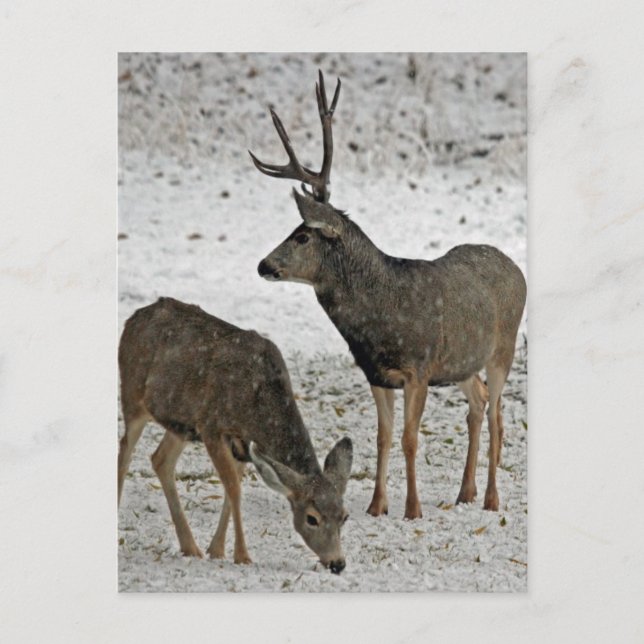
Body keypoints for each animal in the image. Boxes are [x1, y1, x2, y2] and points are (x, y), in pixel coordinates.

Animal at [117, 297, 353, 573]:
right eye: (312, 518)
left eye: (344, 516)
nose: (337, 563)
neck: (257, 405)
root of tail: (133, 318)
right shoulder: (211, 426)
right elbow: (233, 488)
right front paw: (242, 555)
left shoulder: (242, 444)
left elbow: (234, 488)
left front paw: (216, 550)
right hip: (133, 396)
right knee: (124, 453)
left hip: (180, 422)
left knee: (160, 459)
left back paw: (190, 547)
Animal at [250, 71, 526, 520]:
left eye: (303, 235)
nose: (263, 265)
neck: (380, 317)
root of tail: (515, 266)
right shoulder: (376, 373)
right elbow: (382, 438)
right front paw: (377, 505)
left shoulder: (419, 368)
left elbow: (410, 439)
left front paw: (412, 509)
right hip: (462, 363)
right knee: (480, 401)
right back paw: (464, 492)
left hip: (504, 347)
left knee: (499, 413)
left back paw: (490, 498)